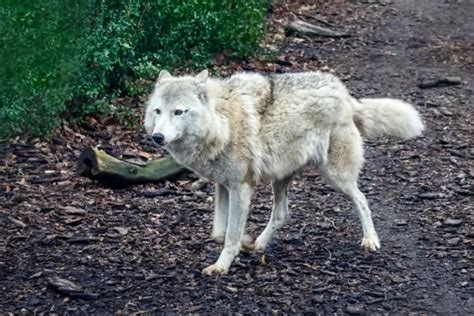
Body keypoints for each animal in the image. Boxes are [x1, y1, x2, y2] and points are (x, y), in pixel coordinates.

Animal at [143, 70, 424, 276]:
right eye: (158, 111)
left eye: (179, 111)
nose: (157, 137)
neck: (222, 123)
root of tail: (343, 92)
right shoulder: (223, 186)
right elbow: (218, 233)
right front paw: (246, 242)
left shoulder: (241, 187)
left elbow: (230, 236)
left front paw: (222, 266)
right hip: (280, 179)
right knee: (282, 214)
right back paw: (258, 244)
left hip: (336, 176)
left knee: (362, 199)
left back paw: (370, 240)